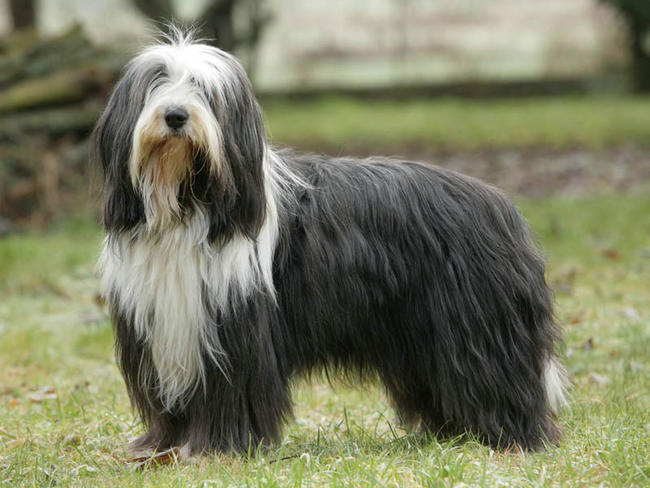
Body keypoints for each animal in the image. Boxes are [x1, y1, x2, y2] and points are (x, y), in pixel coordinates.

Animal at [93, 32, 564, 460]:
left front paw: (216, 448)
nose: (175, 115)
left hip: (476, 326)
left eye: (206, 92)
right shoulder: (163, 326)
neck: (187, 204)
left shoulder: (234, 327)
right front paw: (162, 446)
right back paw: (454, 432)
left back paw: (510, 437)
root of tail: (500, 204)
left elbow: (231, 392)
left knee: (498, 378)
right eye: (157, 82)